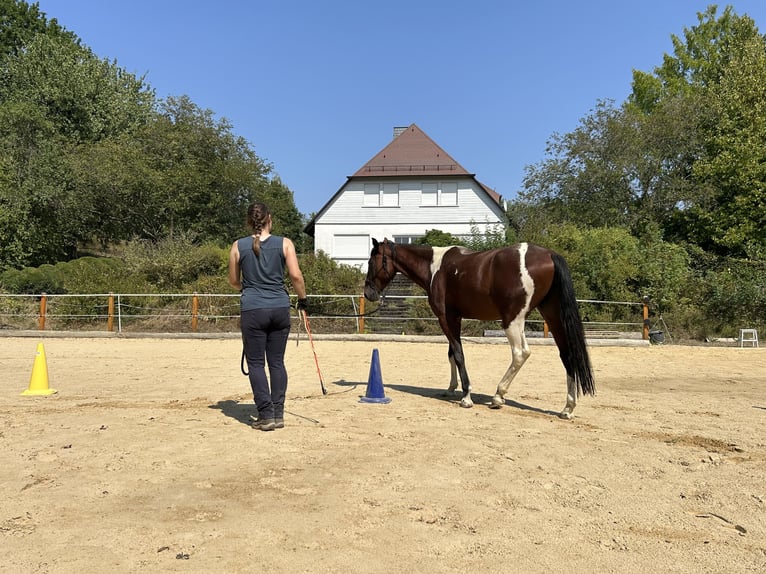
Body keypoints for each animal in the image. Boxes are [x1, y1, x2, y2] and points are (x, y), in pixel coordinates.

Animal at [363, 238, 595, 419]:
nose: (368, 293)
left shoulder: (446, 318)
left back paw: (498, 396)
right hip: (553, 317)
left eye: (372, 261)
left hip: (512, 321)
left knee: (521, 353)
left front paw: (466, 396)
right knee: (567, 355)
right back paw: (567, 408)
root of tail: (550, 254)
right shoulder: (454, 318)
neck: (435, 267)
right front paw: (451, 388)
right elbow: (451, 354)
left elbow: (458, 354)